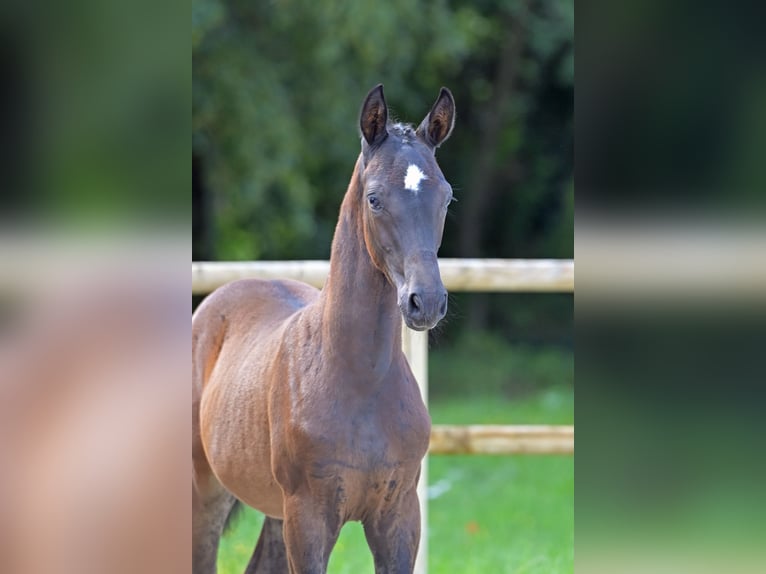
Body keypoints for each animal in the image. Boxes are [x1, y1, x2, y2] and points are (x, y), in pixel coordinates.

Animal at [194, 85, 456, 574]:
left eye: (446, 198)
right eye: (374, 198)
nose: (426, 301)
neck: (361, 379)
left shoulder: (399, 517)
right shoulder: (309, 519)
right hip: (207, 491)